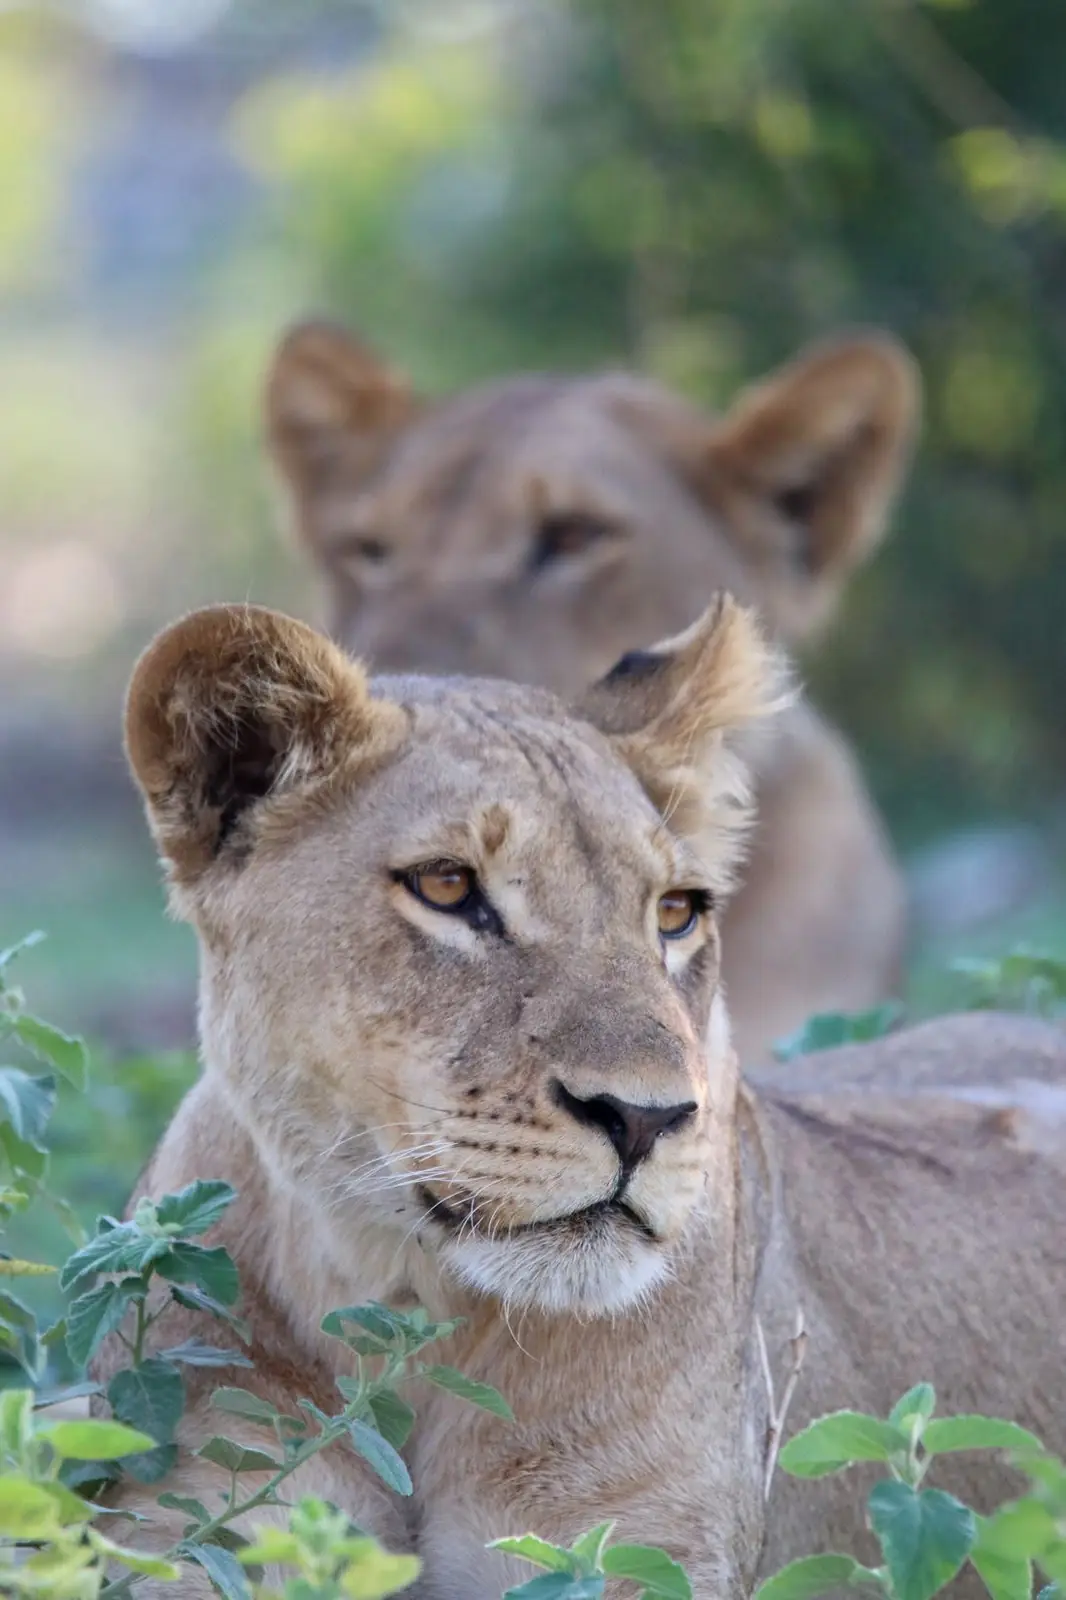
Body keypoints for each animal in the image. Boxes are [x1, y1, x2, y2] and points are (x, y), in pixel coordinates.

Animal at [102, 598, 1064, 1598]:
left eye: (676, 912)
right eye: (448, 885)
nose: (645, 1118)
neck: (410, 1314)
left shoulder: (629, 1550)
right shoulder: (197, 1515)